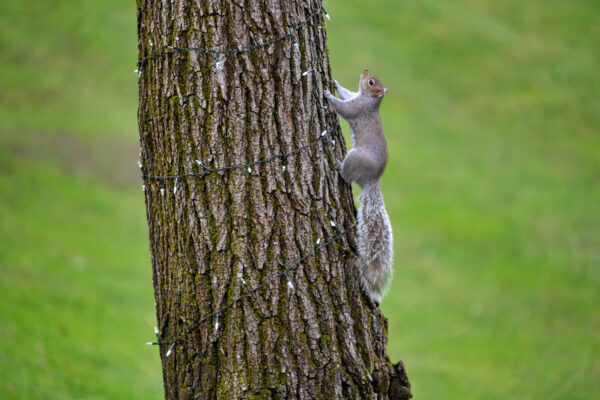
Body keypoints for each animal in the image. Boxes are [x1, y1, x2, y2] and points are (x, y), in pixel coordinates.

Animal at [326, 71, 392, 304]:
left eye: (371, 82)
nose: (365, 71)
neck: (369, 100)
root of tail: (372, 180)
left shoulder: (356, 108)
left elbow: (343, 108)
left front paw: (327, 94)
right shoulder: (355, 97)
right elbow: (346, 93)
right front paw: (335, 85)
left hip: (354, 158)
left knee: (346, 176)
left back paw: (338, 166)